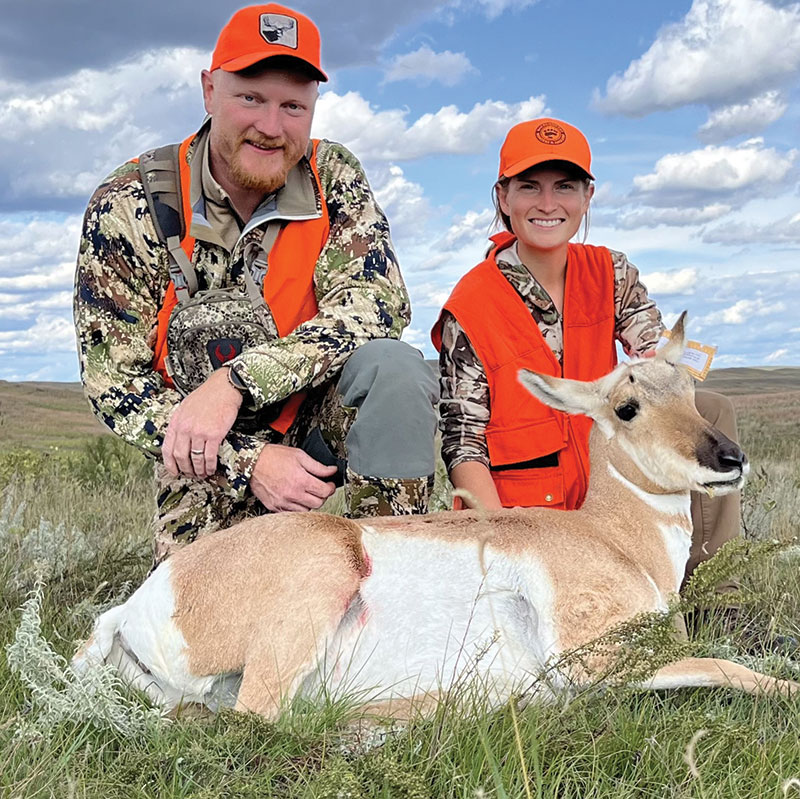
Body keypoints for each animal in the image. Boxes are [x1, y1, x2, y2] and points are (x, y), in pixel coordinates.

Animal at [72, 314, 796, 720]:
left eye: (692, 389)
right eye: (626, 405)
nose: (729, 457)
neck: (612, 538)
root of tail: (139, 601)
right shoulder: (597, 664)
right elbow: (732, 668)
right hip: (320, 578)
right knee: (261, 718)